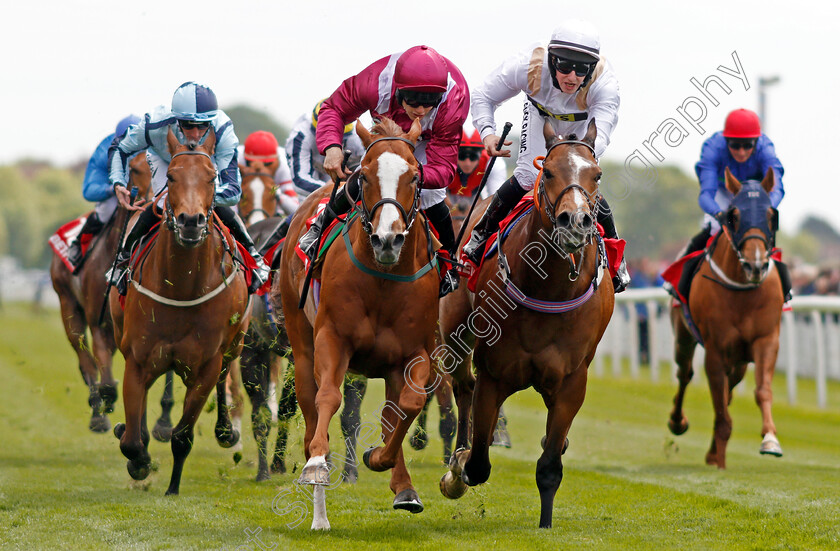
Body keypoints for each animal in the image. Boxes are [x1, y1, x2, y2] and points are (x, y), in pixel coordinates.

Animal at [49, 153, 152, 434]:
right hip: (68, 305)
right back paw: (96, 412)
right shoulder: (98, 324)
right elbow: (103, 377)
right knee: (85, 361)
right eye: (134, 169)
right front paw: (103, 410)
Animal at [106, 129, 249, 496]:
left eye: (212, 177)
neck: (181, 287)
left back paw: (226, 431)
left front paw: (172, 487)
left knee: (226, 377)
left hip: (235, 343)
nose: (190, 222)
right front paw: (139, 460)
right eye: (171, 176)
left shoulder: (206, 365)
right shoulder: (139, 358)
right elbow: (132, 440)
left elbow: (183, 435)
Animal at [280, 117, 440, 532]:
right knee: (311, 412)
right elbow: (328, 399)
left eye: (415, 176)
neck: (384, 279)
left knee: (393, 410)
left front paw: (383, 463)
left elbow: (408, 406)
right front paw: (317, 466)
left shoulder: (416, 351)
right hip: (300, 344)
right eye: (363, 176)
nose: (388, 239)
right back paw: (319, 513)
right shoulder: (332, 338)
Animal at [440, 121, 616, 532]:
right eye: (548, 171)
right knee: (462, 386)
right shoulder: (493, 374)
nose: (576, 221)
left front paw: (546, 523)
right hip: (455, 335)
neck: (549, 287)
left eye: (597, 174)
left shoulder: (571, 382)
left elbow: (550, 465)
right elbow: (478, 463)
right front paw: (458, 469)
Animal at [668, 168, 784, 470]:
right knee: (685, 374)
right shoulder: (716, 350)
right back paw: (677, 422)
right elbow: (721, 410)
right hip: (684, 336)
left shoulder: (766, 339)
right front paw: (718, 461)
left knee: (729, 390)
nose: (756, 265)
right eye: (734, 216)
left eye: (771, 215)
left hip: (740, 359)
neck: (743, 290)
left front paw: (770, 439)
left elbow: (761, 391)